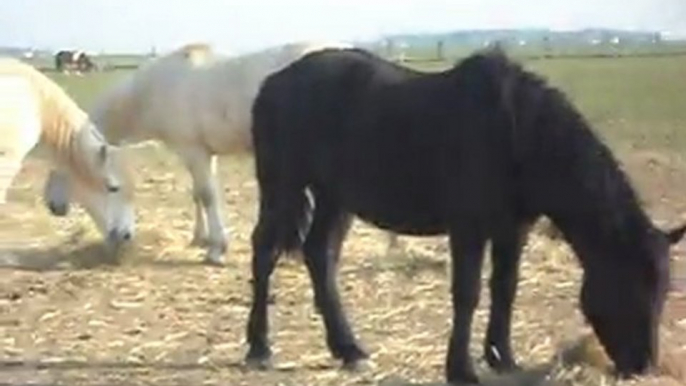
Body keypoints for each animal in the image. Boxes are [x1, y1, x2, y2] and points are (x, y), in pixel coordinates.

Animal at [45, 42, 400, 266]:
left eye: (113, 187)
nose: (53, 205)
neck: (158, 88)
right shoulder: (201, 152)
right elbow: (199, 194)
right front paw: (200, 238)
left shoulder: (194, 151)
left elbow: (207, 195)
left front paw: (216, 250)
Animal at [245, 46, 686, 384]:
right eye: (631, 284)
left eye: (663, 289)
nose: (643, 366)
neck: (516, 133)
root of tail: (271, 83)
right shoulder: (468, 229)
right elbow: (467, 293)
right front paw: (461, 369)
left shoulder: (513, 230)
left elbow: (505, 289)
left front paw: (502, 357)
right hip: (282, 186)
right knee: (264, 251)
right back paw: (259, 347)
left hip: (335, 197)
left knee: (320, 255)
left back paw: (348, 349)